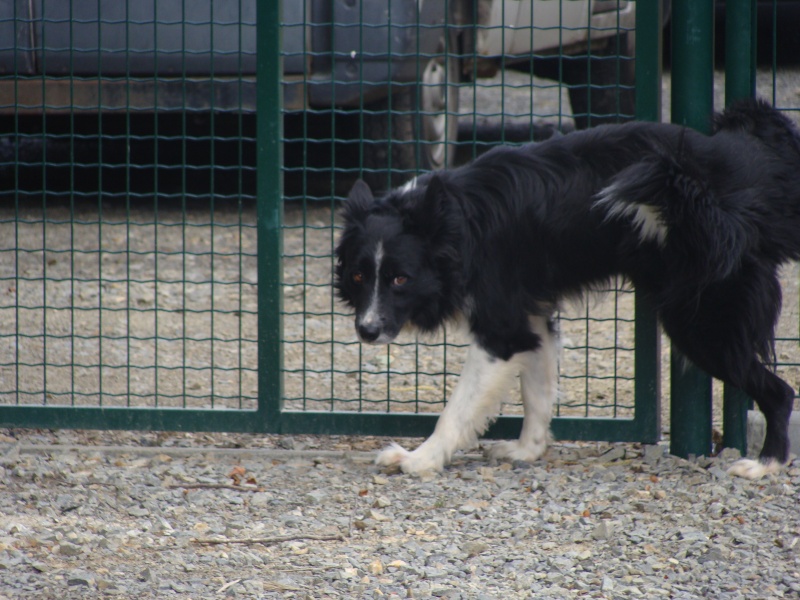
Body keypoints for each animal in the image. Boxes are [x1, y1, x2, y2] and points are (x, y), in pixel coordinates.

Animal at [336, 101, 800, 480]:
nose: (366, 331)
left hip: (701, 323)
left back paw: (766, 464)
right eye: (359, 277)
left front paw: (420, 458)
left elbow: (457, 409)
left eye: (400, 279)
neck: (456, 225)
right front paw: (527, 451)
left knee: (780, 392)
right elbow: (537, 394)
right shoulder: (533, 321)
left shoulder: (500, 333)